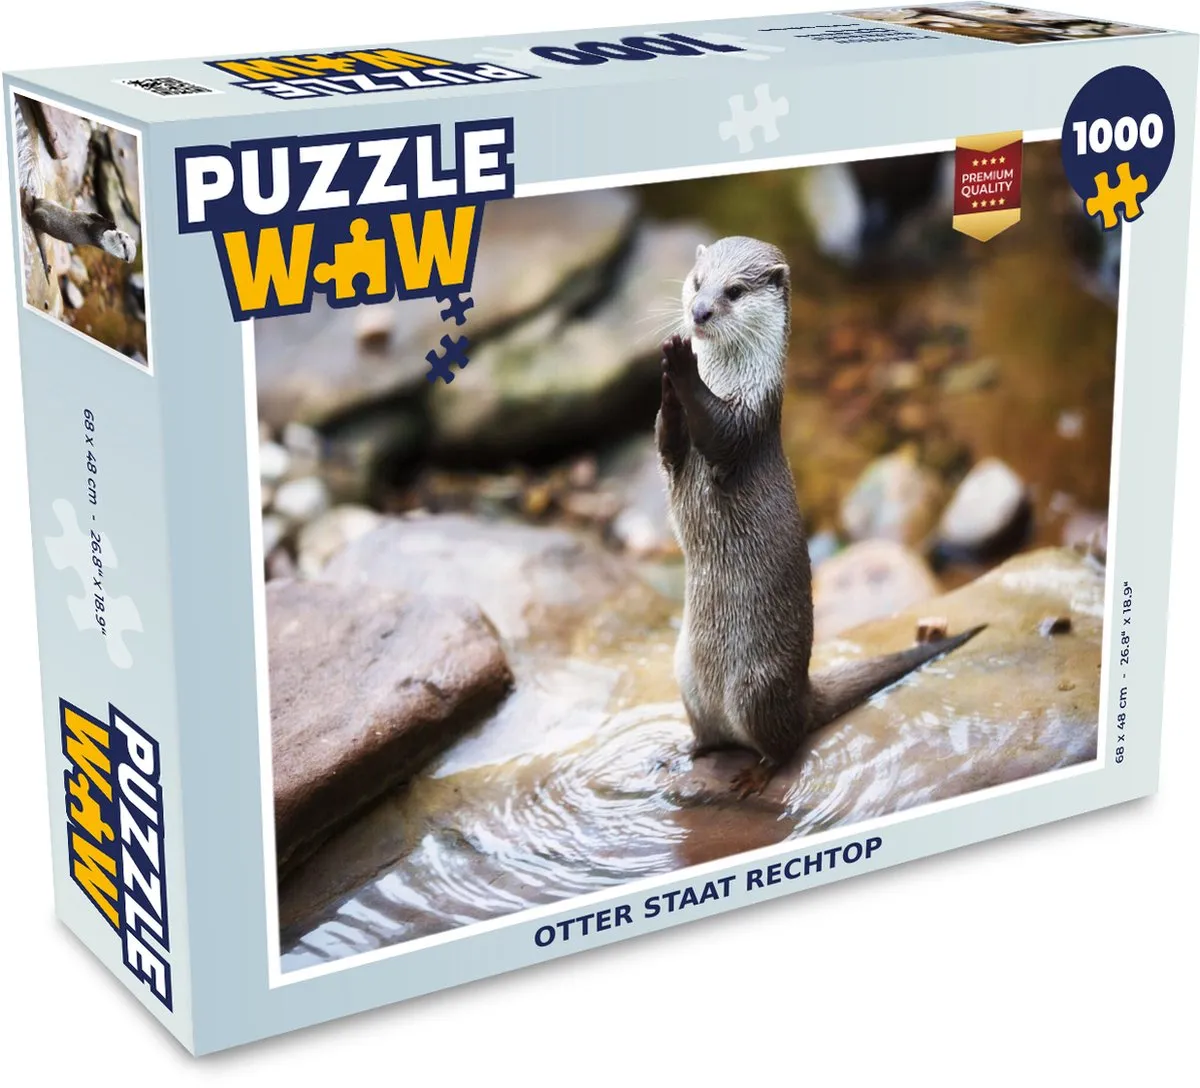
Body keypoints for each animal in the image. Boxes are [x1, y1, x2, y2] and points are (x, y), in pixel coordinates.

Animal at [656, 235, 982, 795]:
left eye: (734, 291)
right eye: (698, 282)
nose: (698, 313)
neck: (732, 379)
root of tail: (803, 691)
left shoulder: (749, 421)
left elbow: (718, 429)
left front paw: (681, 368)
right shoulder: (677, 456)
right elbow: (666, 442)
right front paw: (666, 384)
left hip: (757, 687)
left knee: (783, 743)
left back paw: (755, 777)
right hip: (686, 677)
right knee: (710, 735)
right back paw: (682, 753)